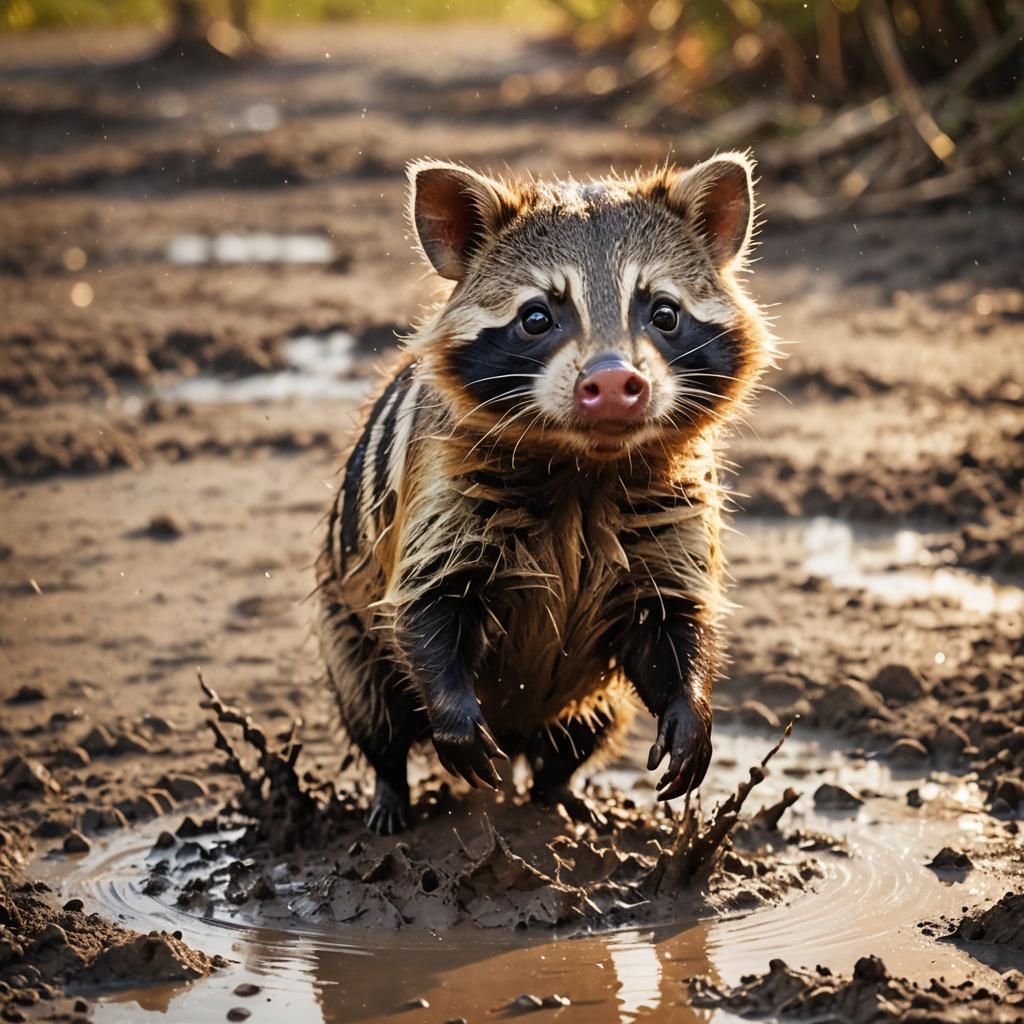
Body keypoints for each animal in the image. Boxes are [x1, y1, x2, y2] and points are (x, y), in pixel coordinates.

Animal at [316, 154, 772, 834]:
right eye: (537, 316)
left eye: (663, 312)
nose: (612, 382)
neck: (585, 465)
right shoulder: (439, 488)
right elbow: (424, 605)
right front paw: (452, 713)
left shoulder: (673, 508)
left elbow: (673, 617)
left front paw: (693, 707)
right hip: (341, 624)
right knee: (374, 709)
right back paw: (390, 789)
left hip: (586, 704)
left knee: (583, 729)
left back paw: (560, 790)